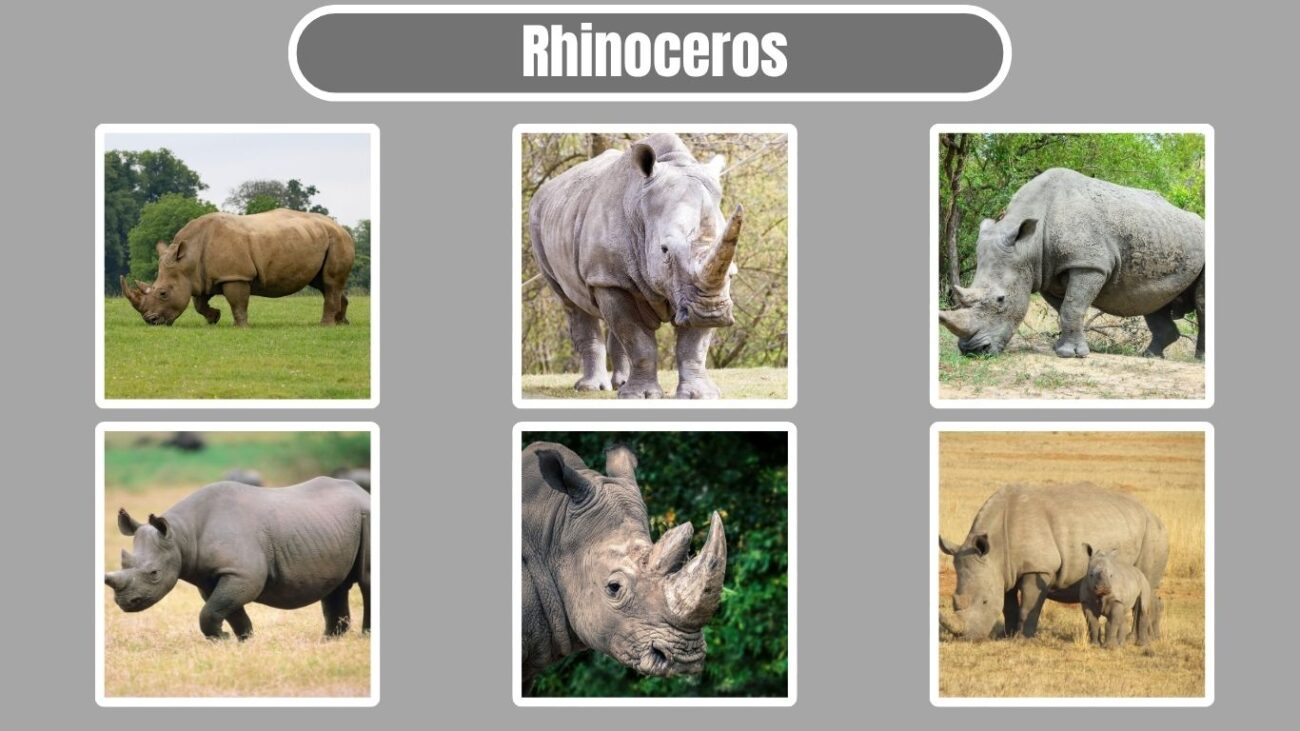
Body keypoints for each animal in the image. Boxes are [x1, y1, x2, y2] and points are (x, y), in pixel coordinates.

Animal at [104, 477, 371, 640]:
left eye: (154, 573)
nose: (125, 603)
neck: (181, 535)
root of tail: (362, 491)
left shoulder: (243, 574)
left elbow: (211, 611)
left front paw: (223, 639)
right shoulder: (212, 578)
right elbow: (226, 610)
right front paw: (244, 641)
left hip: (366, 513)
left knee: (366, 581)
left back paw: (364, 637)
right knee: (335, 586)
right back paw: (328, 642)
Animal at [121, 208, 355, 327]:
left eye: (163, 293)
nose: (150, 321)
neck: (188, 259)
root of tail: (341, 227)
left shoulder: (235, 275)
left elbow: (238, 302)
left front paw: (240, 327)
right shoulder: (202, 277)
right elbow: (199, 303)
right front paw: (214, 318)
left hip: (337, 240)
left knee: (330, 283)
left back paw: (325, 326)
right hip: (318, 238)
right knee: (326, 284)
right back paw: (342, 323)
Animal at [530, 134, 743, 399]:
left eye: (732, 270)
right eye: (665, 251)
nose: (710, 312)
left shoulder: (700, 290)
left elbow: (693, 345)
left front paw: (699, 395)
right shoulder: (608, 279)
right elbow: (636, 338)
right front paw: (640, 396)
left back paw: (619, 384)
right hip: (538, 224)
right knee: (571, 304)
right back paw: (591, 387)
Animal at [939, 168, 1205, 358]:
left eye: (1001, 299)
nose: (972, 351)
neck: (1029, 244)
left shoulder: (1088, 264)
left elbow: (1072, 307)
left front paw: (1070, 354)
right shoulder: (1047, 273)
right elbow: (1066, 309)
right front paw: (1063, 348)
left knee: (1200, 303)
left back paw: (1198, 359)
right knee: (1153, 299)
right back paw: (1150, 356)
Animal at [939, 484, 1167, 641]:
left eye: (985, 602)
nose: (968, 638)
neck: (995, 547)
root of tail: (1155, 516)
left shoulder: (1038, 568)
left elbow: (1029, 606)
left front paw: (1022, 639)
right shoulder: (1004, 570)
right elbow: (1008, 605)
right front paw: (1007, 636)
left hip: (1152, 534)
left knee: (1145, 585)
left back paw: (1136, 639)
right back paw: (1152, 638)